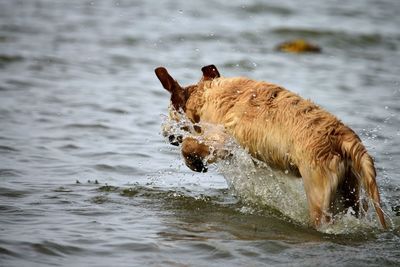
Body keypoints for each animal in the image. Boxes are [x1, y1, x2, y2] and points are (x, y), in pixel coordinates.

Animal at [155, 65, 386, 230]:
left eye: (170, 112)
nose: (166, 134)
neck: (206, 95)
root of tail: (342, 136)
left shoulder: (221, 139)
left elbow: (189, 144)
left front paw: (194, 162)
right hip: (350, 192)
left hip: (318, 193)